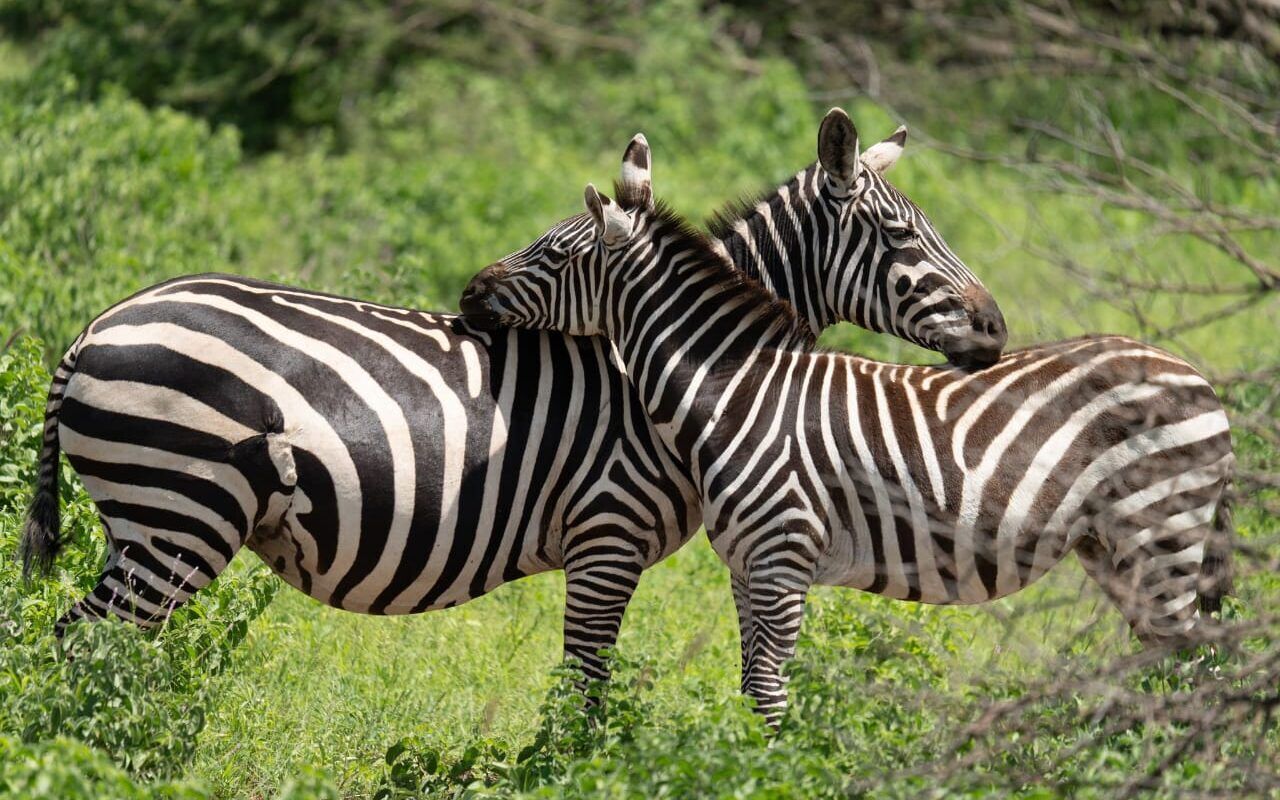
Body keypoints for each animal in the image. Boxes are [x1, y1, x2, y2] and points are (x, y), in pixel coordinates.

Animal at [20, 113, 1006, 693]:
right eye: (900, 236)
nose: (995, 328)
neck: (677, 367)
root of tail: (92, 326)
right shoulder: (606, 534)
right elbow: (582, 688)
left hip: (147, 521)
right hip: (178, 511)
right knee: (87, 646)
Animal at [459, 119, 1236, 725]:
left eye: (553, 253)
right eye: (902, 231)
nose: (468, 293)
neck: (736, 388)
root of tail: (1195, 375)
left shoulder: (778, 555)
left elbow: (767, 695)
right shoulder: (747, 566)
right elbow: (752, 690)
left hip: (1160, 529)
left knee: (1189, 665)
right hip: (1117, 548)